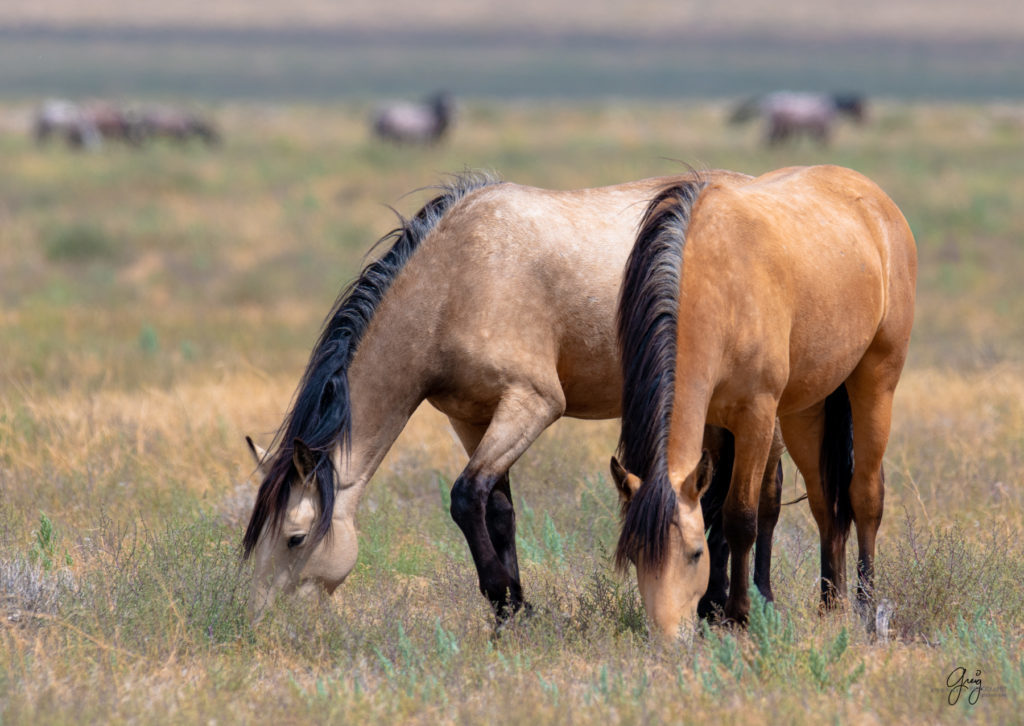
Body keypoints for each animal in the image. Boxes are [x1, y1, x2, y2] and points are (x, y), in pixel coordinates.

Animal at [239, 169, 782, 626]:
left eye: (294, 537)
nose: (263, 621)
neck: (455, 282)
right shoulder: (472, 419)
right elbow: (496, 509)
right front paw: (513, 613)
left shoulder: (532, 404)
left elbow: (465, 497)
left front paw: (503, 597)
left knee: (761, 501)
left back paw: (754, 604)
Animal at [610, 166, 917, 638]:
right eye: (635, 555)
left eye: (693, 554)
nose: (669, 639)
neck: (716, 282)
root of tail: (876, 200)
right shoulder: (714, 425)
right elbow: (714, 509)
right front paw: (716, 607)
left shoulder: (755, 416)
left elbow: (739, 516)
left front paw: (739, 613)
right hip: (805, 411)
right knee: (824, 504)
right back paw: (831, 604)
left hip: (876, 380)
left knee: (865, 494)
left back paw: (866, 610)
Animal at [733, 92, 868, 145]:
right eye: (859, 108)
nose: (866, 121)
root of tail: (767, 101)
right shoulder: (823, 127)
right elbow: (823, 141)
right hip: (774, 123)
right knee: (767, 137)